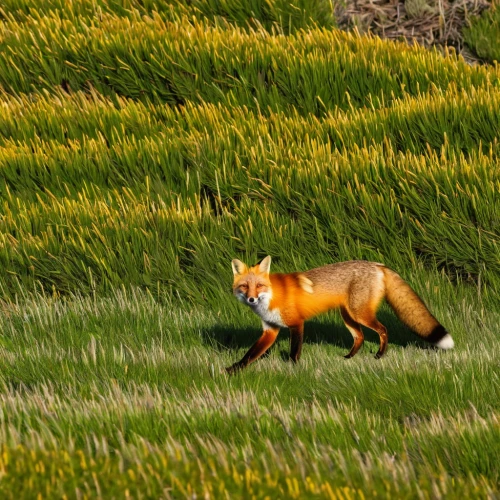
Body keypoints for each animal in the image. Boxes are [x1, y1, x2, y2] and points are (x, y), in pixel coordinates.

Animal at [227, 258, 454, 372]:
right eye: (244, 286)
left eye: (259, 286)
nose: (251, 300)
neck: (272, 297)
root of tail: (378, 264)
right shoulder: (270, 330)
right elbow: (250, 354)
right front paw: (234, 369)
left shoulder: (296, 324)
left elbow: (294, 352)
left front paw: (293, 369)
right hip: (348, 317)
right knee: (360, 337)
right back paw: (349, 358)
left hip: (360, 314)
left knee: (383, 330)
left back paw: (380, 355)